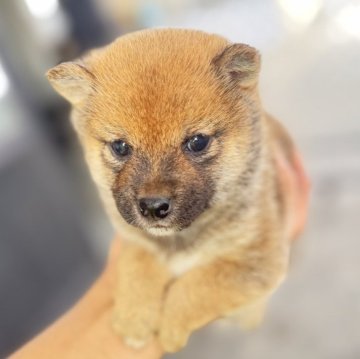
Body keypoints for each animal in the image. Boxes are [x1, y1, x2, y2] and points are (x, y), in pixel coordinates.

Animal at [46, 28, 306, 354]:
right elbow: (137, 267)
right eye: (120, 147)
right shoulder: (135, 241)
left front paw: (170, 327)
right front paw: (133, 317)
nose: (153, 207)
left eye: (197, 142)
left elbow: (198, 285)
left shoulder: (258, 260)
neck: (182, 239)